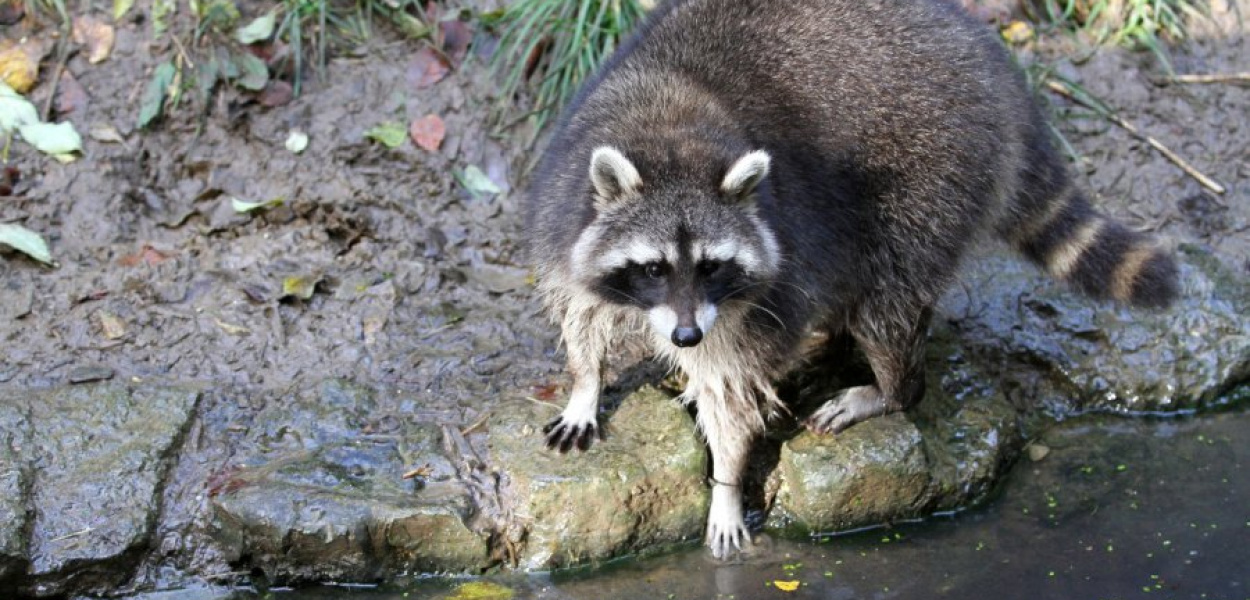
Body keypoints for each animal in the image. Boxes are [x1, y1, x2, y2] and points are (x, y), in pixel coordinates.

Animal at [522, 0, 1175, 557]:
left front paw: (726, 481)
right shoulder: (563, 205)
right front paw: (585, 383)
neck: (669, 130)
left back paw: (892, 386)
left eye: (711, 266)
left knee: (889, 298)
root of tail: (997, 71)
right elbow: (580, 307)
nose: (685, 337)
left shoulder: (763, 274)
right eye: (654, 268)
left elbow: (731, 381)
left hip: (933, 172)